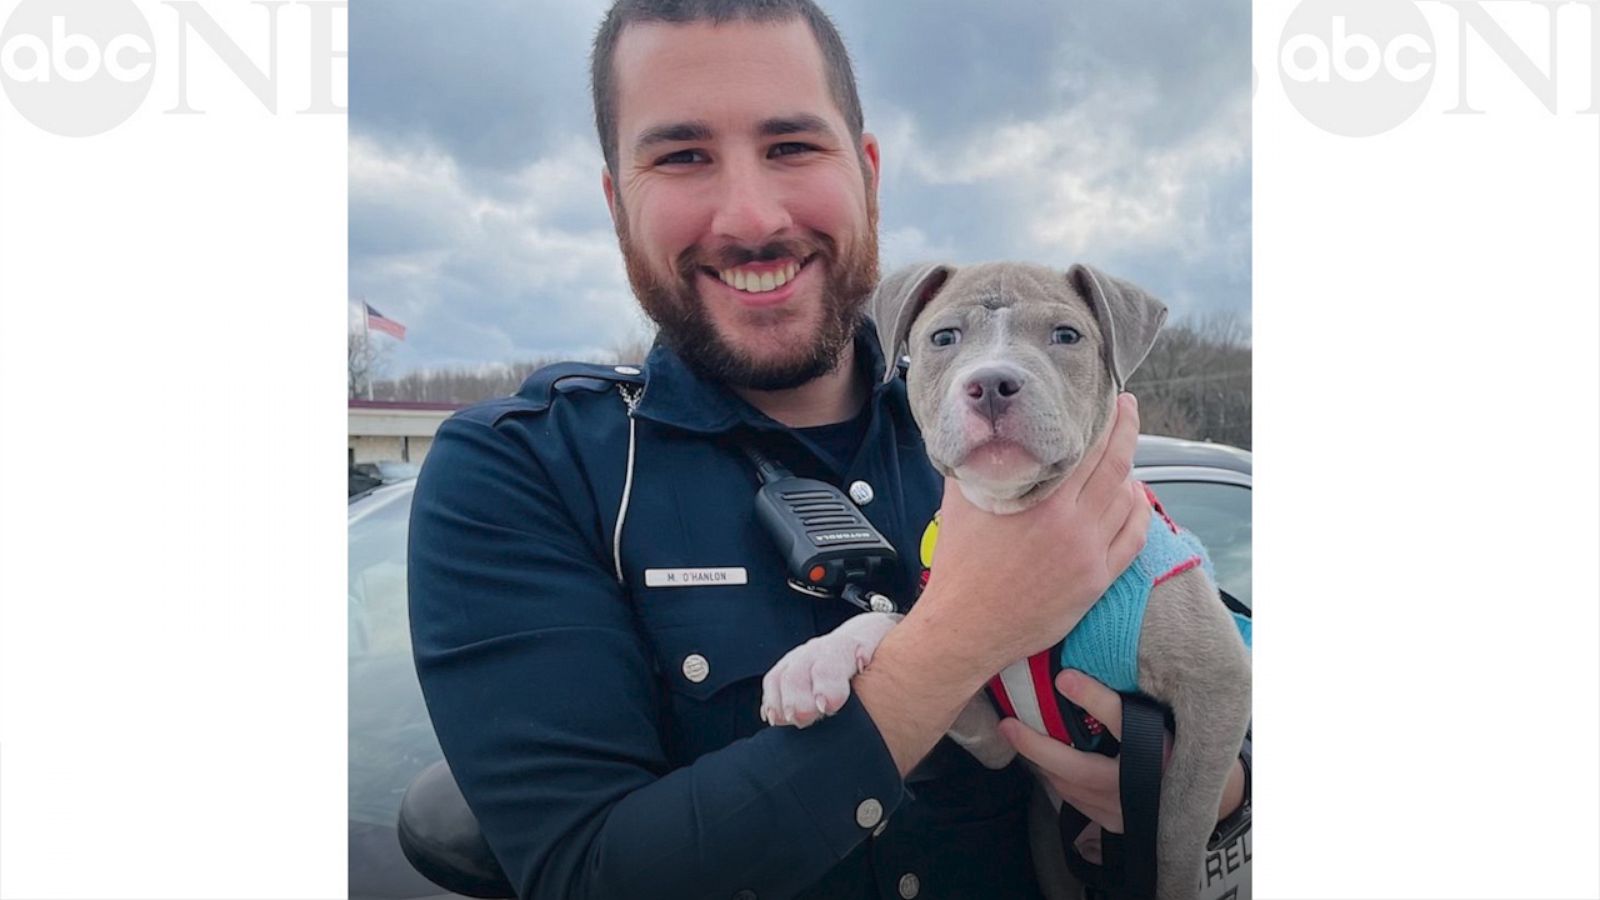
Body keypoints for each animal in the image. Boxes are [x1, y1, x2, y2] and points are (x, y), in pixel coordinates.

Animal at [758, 259, 1248, 896]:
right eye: (944, 337)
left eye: (1067, 335)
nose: (991, 383)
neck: (1009, 510)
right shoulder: (990, 732)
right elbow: (896, 623)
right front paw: (814, 661)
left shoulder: (1219, 685)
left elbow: (1176, 831)